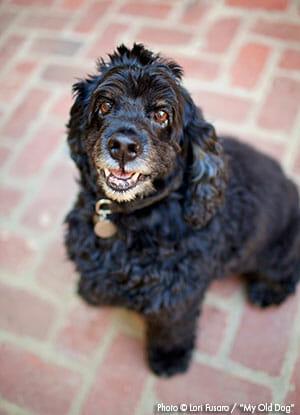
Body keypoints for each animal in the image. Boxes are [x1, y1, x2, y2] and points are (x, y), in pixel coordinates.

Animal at [65, 44, 300, 378]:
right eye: (105, 105)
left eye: (162, 114)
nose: (122, 146)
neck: (134, 216)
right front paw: (91, 291)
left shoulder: (177, 295)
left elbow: (172, 329)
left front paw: (169, 358)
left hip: (277, 252)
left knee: (288, 272)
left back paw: (267, 292)